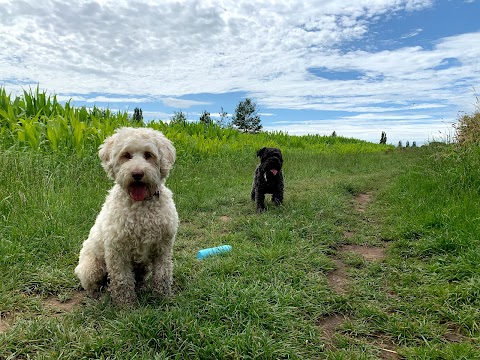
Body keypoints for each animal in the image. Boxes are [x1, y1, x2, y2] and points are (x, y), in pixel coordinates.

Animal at [74, 127, 179, 306]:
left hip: (142, 265)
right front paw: (126, 306)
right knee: (95, 285)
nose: (137, 173)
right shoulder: (117, 251)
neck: (141, 206)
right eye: (126, 155)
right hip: (92, 268)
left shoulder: (163, 247)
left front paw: (162, 298)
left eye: (148, 155)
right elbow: (122, 281)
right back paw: (99, 297)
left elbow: (162, 274)